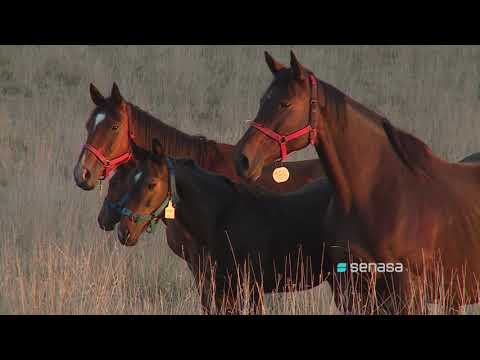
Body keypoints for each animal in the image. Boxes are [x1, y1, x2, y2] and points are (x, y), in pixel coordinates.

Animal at [116, 139, 334, 314]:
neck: (223, 219)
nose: (124, 231)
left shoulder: (251, 288)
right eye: (130, 180)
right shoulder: (221, 289)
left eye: (151, 184)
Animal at [234, 50, 480, 312]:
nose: (243, 159)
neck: (377, 195)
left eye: (285, 104)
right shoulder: (353, 291)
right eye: (263, 101)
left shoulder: (407, 293)